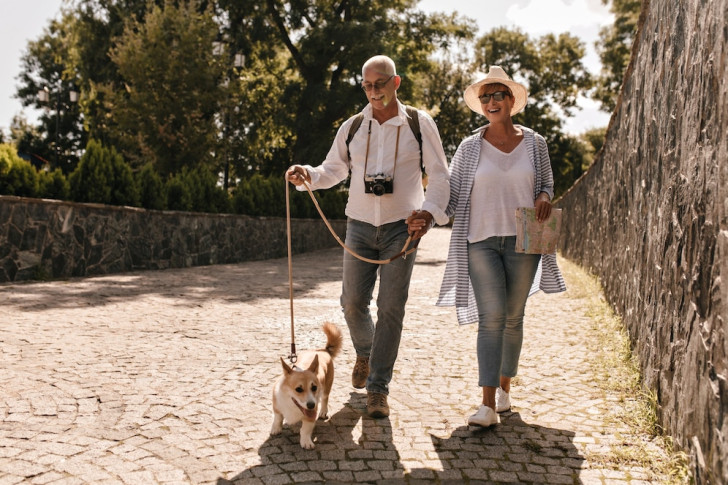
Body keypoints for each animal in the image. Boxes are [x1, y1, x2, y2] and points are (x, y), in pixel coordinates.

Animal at [270, 322, 344, 450]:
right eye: (298, 389)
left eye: (314, 387)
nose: (311, 405)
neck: (292, 404)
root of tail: (323, 351)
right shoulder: (277, 407)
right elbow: (278, 418)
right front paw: (276, 429)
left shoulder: (310, 417)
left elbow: (305, 430)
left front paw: (306, 442)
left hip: (326, 387)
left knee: (325, 398)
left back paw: (323, 411)